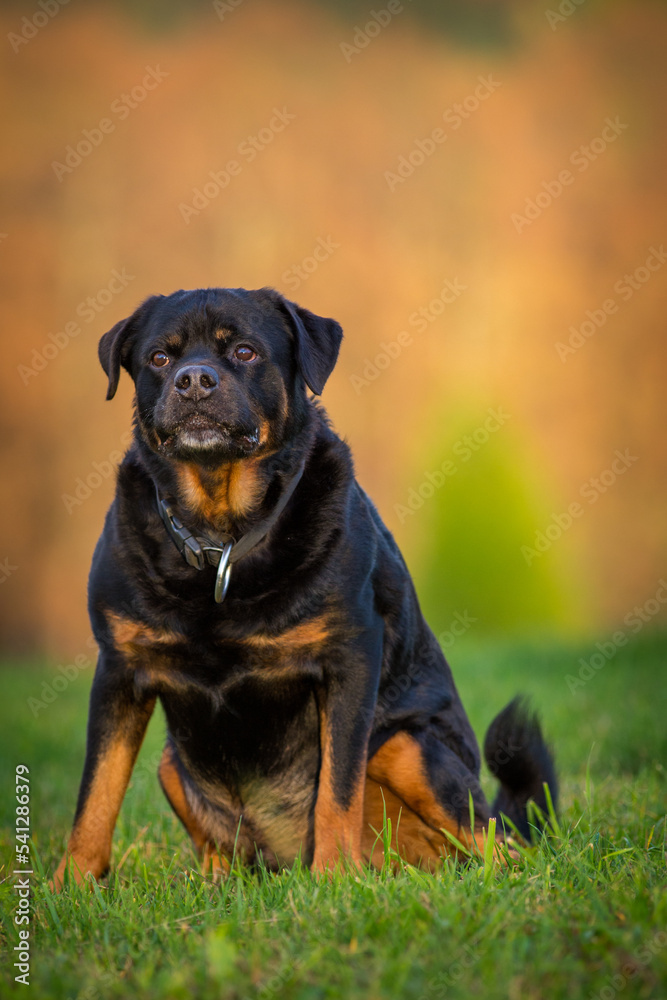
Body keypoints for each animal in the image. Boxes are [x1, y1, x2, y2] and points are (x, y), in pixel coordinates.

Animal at [52, 286, 556, 888]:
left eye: (244, 351)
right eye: (159, 357)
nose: (194, 379)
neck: (221, 538)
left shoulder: (350, 658)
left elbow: (338, 788)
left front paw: (334, 878)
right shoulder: (119, 668)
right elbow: (96, 793)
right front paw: (69, 886)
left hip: (410, 745)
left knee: (497, 840)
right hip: (174, 764)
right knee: (219, 848)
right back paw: (214, 883)